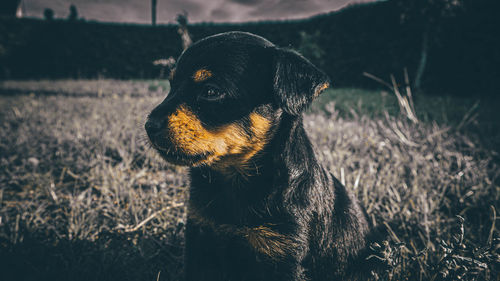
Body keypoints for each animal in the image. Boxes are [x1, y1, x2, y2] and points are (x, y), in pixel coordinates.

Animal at [146, 31, 374, 280]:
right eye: (171, 86)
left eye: (211, 91)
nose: (149, 125)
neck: (234, 180)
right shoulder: (200, 238)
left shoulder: (285, 254)